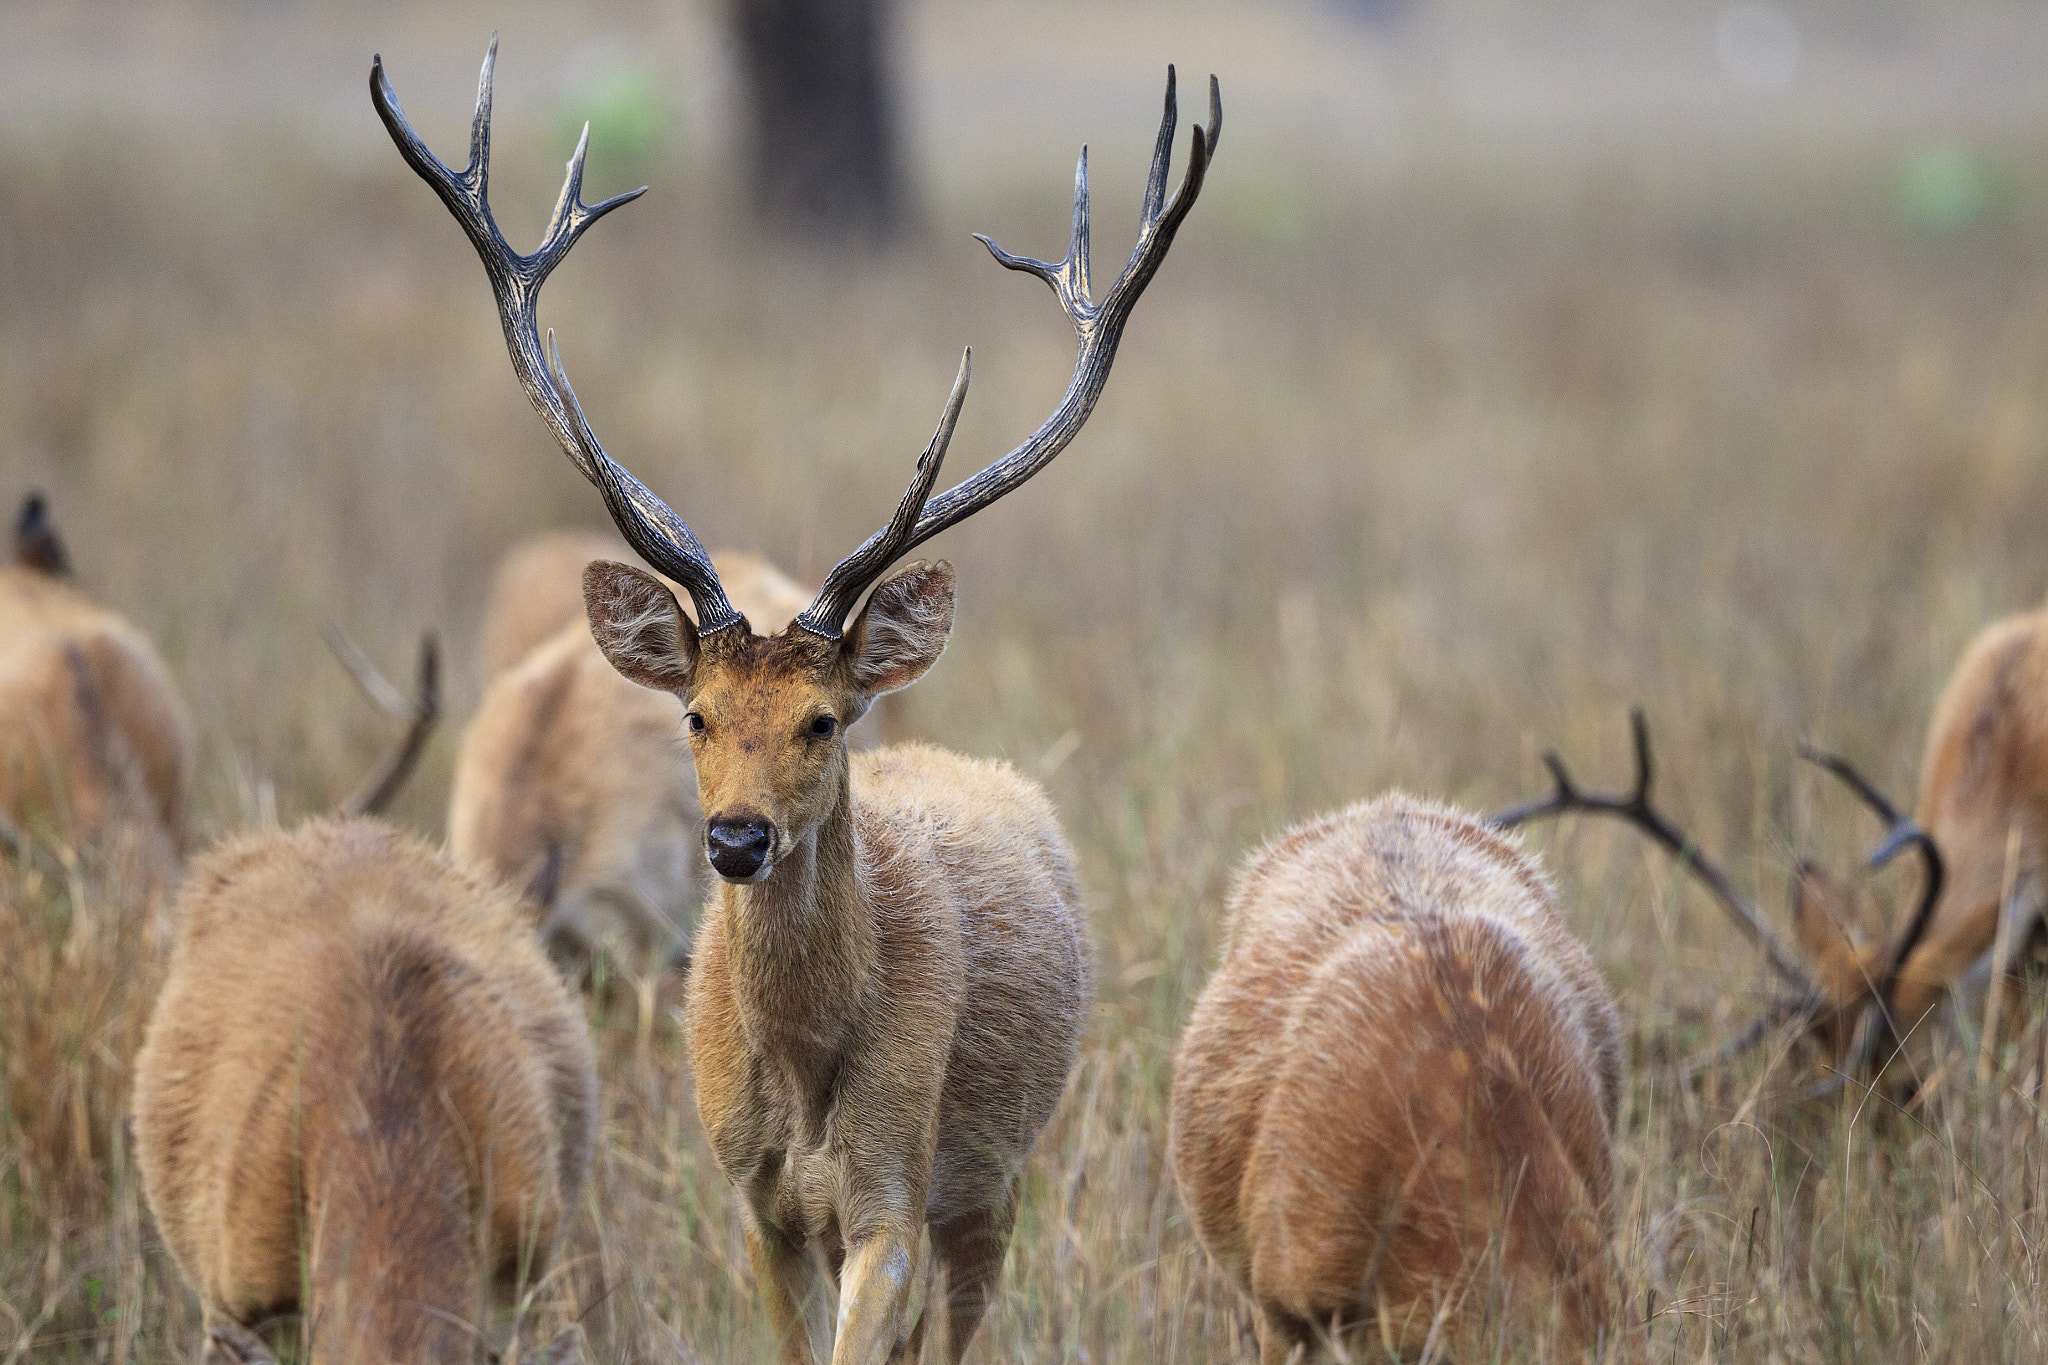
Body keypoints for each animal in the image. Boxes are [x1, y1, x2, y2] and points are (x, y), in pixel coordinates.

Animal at [372, 37, 1212, 1358]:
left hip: (995, 1182)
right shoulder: (758, 1205)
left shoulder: (891, 1200)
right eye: (696, 715)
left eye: (823, 719)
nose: (735, 838)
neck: (812, 1091)